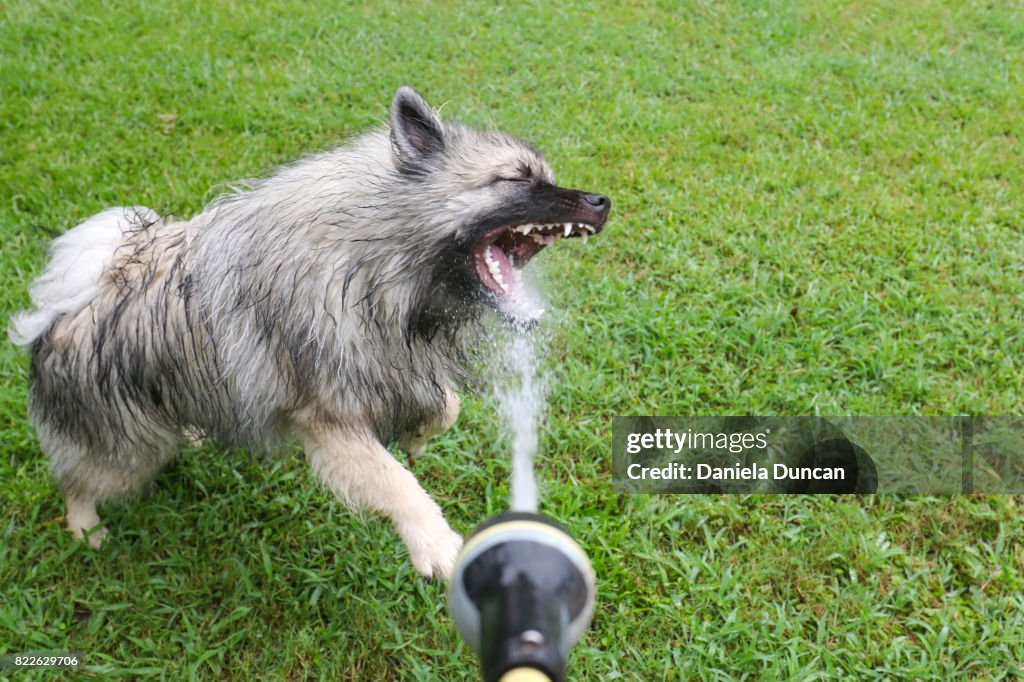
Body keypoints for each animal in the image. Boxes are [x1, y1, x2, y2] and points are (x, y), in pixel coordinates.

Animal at [8, 86, 606, 577]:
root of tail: (68, 302)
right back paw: (84, 526)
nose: (601, 202)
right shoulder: (329, 421)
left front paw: (417, 433)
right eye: (517, 178)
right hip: (123, 450)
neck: (377, 265)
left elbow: (446, 407)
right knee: (76, 480)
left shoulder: (396, 367)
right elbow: (396, 481)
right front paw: (434, 541)